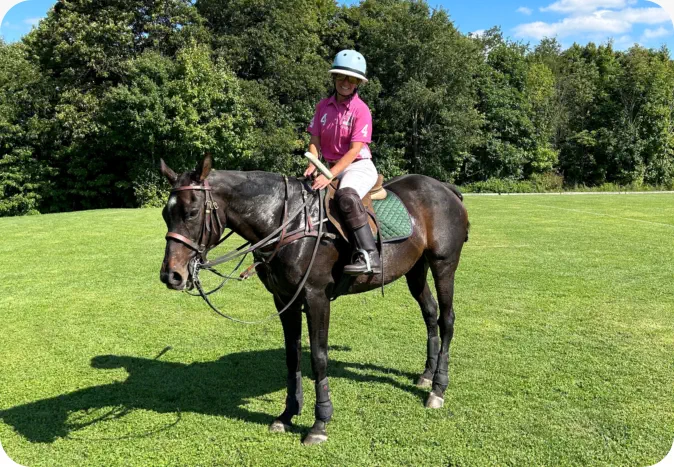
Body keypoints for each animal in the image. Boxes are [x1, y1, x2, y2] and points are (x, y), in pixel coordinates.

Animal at [159, 155, 469, 445]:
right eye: (165, 213)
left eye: (192, 212)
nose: (171, 275)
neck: (285, 221)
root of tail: (445, 187)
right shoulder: (284, 298)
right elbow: (292, 354)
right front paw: (287, 414)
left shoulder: (317, 297)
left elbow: (319, 357)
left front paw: (320, 423)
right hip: (415, 268)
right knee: (429, 312)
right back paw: (427, 375)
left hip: (443, 263)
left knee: (447, 318)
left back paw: (438, 388)